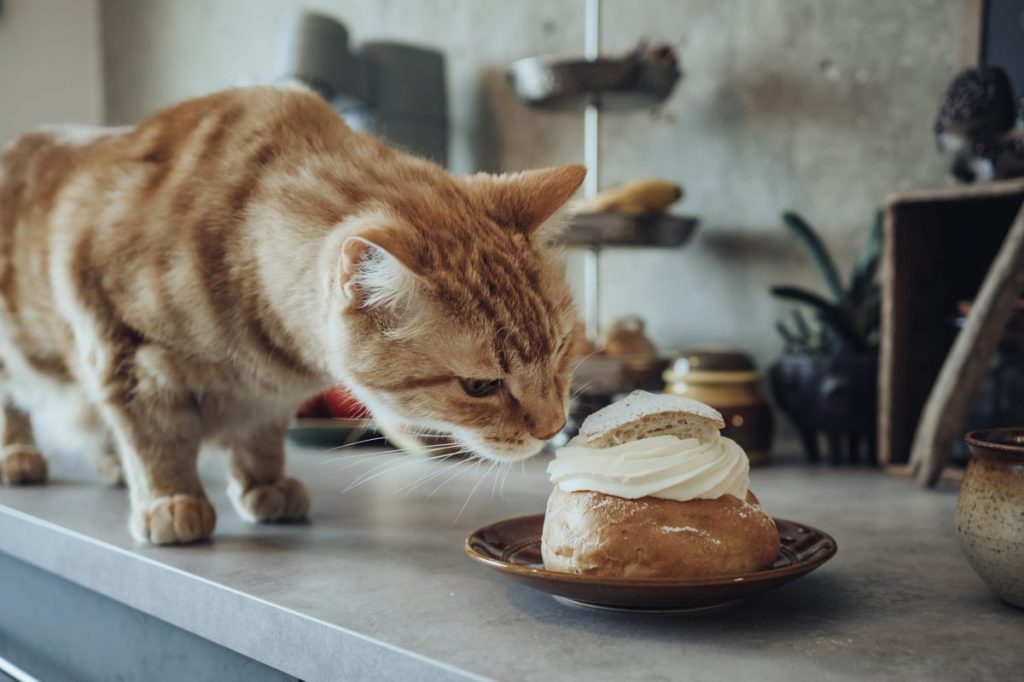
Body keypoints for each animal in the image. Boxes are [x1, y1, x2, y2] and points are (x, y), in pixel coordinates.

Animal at [0, 83, 585, 540]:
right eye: (480, 386)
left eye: (560, 349)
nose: (554, 426)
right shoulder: (121, 349)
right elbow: (152, 436)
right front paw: (169, 498)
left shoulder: (268, 397)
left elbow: (258, 437)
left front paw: (264, 484)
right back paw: (21, 456)